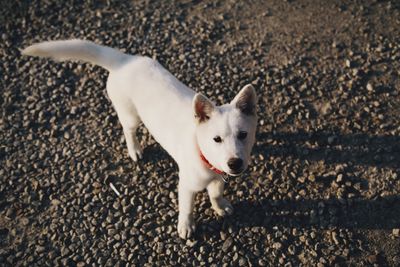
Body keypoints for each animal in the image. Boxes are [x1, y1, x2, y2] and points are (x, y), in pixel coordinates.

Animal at [22, 39, 260, 239]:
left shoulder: (219, 177)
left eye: (243, 135)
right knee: (128, 131)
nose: (235, 163)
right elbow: (187, 207)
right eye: (216, 139)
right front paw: (186, 226)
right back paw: (134, 149)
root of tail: (124, 60)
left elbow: (216, 192)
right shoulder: (186, 185)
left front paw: (220, 205)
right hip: (130, 116)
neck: (204, 155)